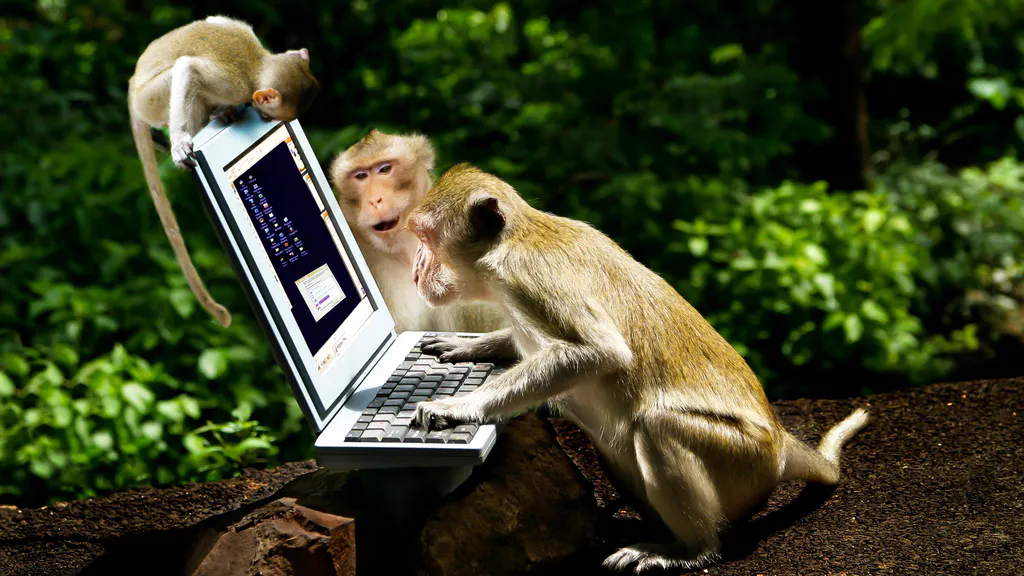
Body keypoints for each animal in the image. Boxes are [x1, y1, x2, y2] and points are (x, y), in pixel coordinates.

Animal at [128, 15, 320, 328]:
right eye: (269, 116)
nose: (264, 118)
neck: (258, 65)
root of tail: (133, 84)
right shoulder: (233, 84)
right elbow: (187, 69)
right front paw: (180, 140)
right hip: (151, 99)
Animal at [406, 164, 871, 573]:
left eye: (425, 237)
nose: (416, 269)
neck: (513, 240)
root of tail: (779, 441)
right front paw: (471, 345)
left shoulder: (526, 278)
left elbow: (599, 351)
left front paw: (460, 406)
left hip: (742, 458)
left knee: (657, 426)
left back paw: (690, 549)